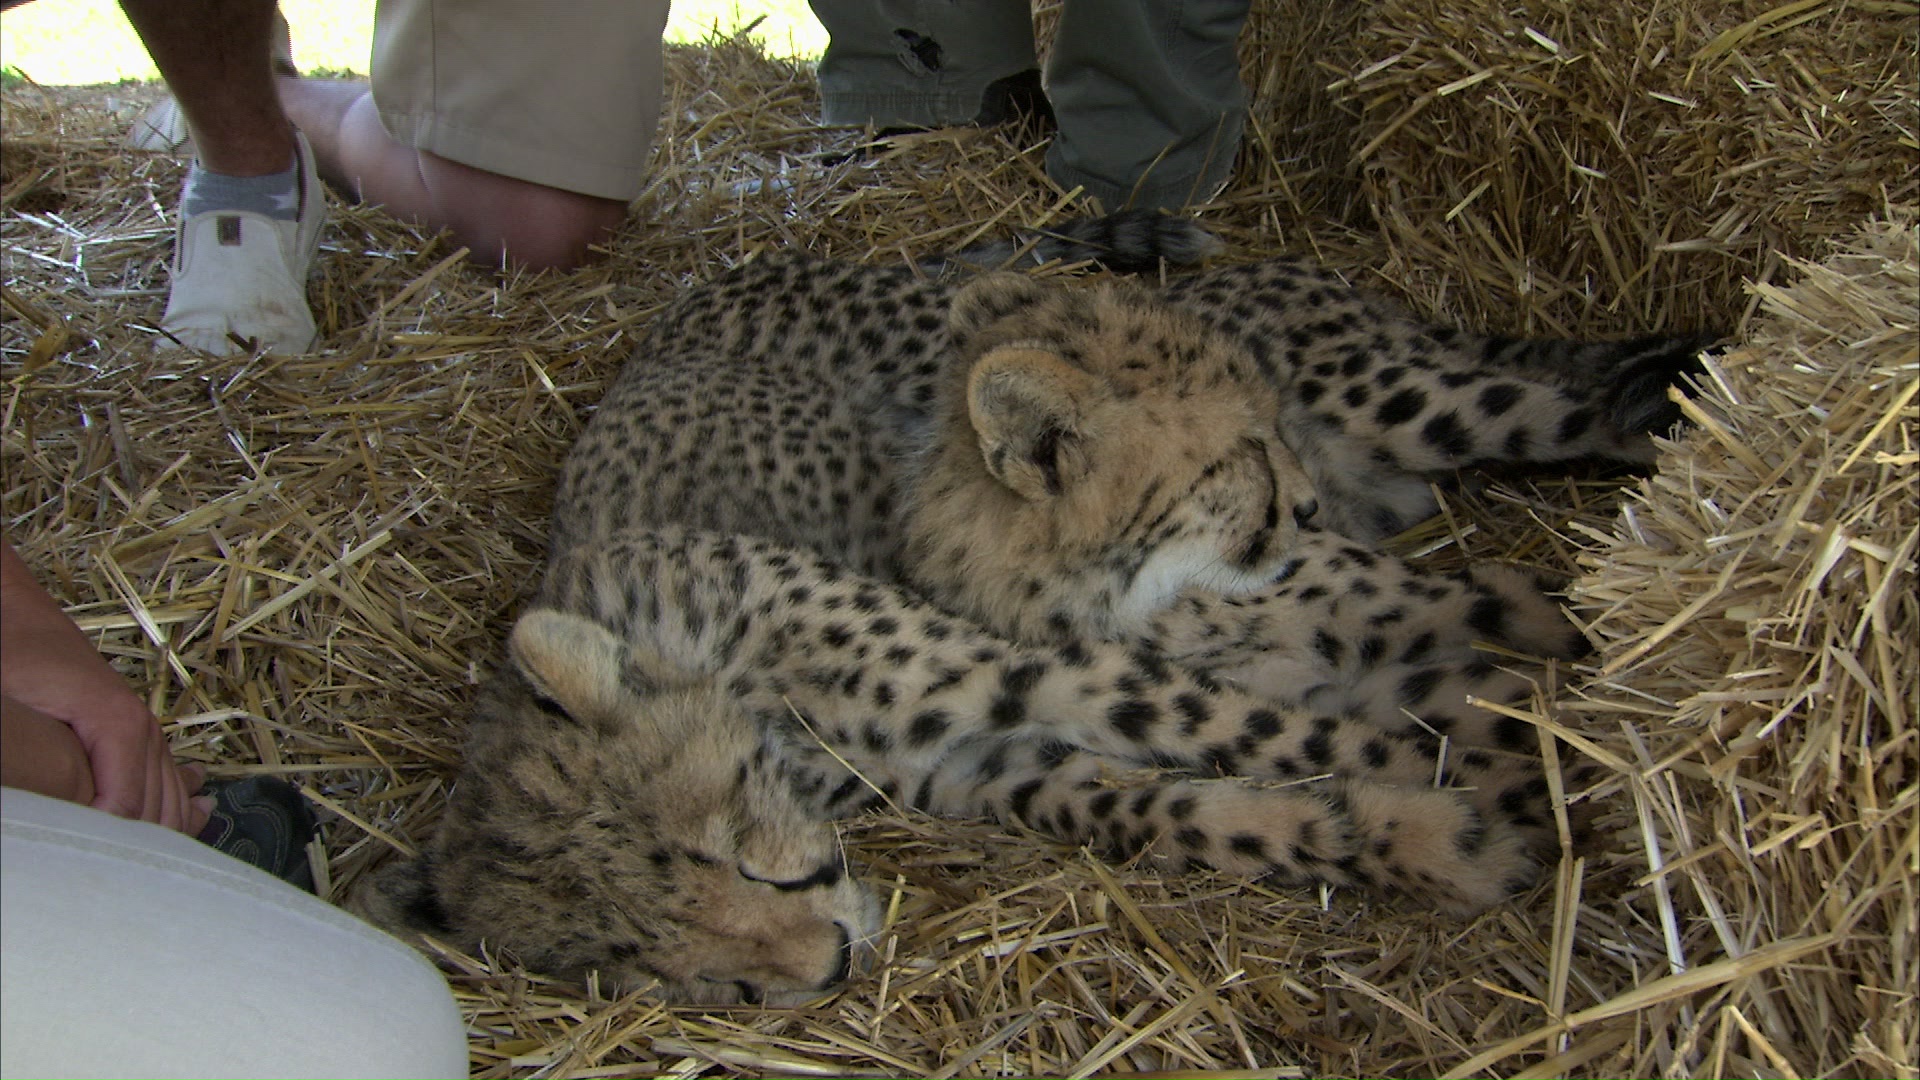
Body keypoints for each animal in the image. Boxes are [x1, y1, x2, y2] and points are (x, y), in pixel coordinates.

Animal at [358, 212, 1716, 1004]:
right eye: (674, 974)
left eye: (734, 852)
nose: (830, 964)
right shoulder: (992, 753)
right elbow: (1195, 803)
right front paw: (1424, 827)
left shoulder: (1025, 669)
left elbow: (1321, 711)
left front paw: (1518, 747)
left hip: (1402, 403)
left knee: (1566, 410)